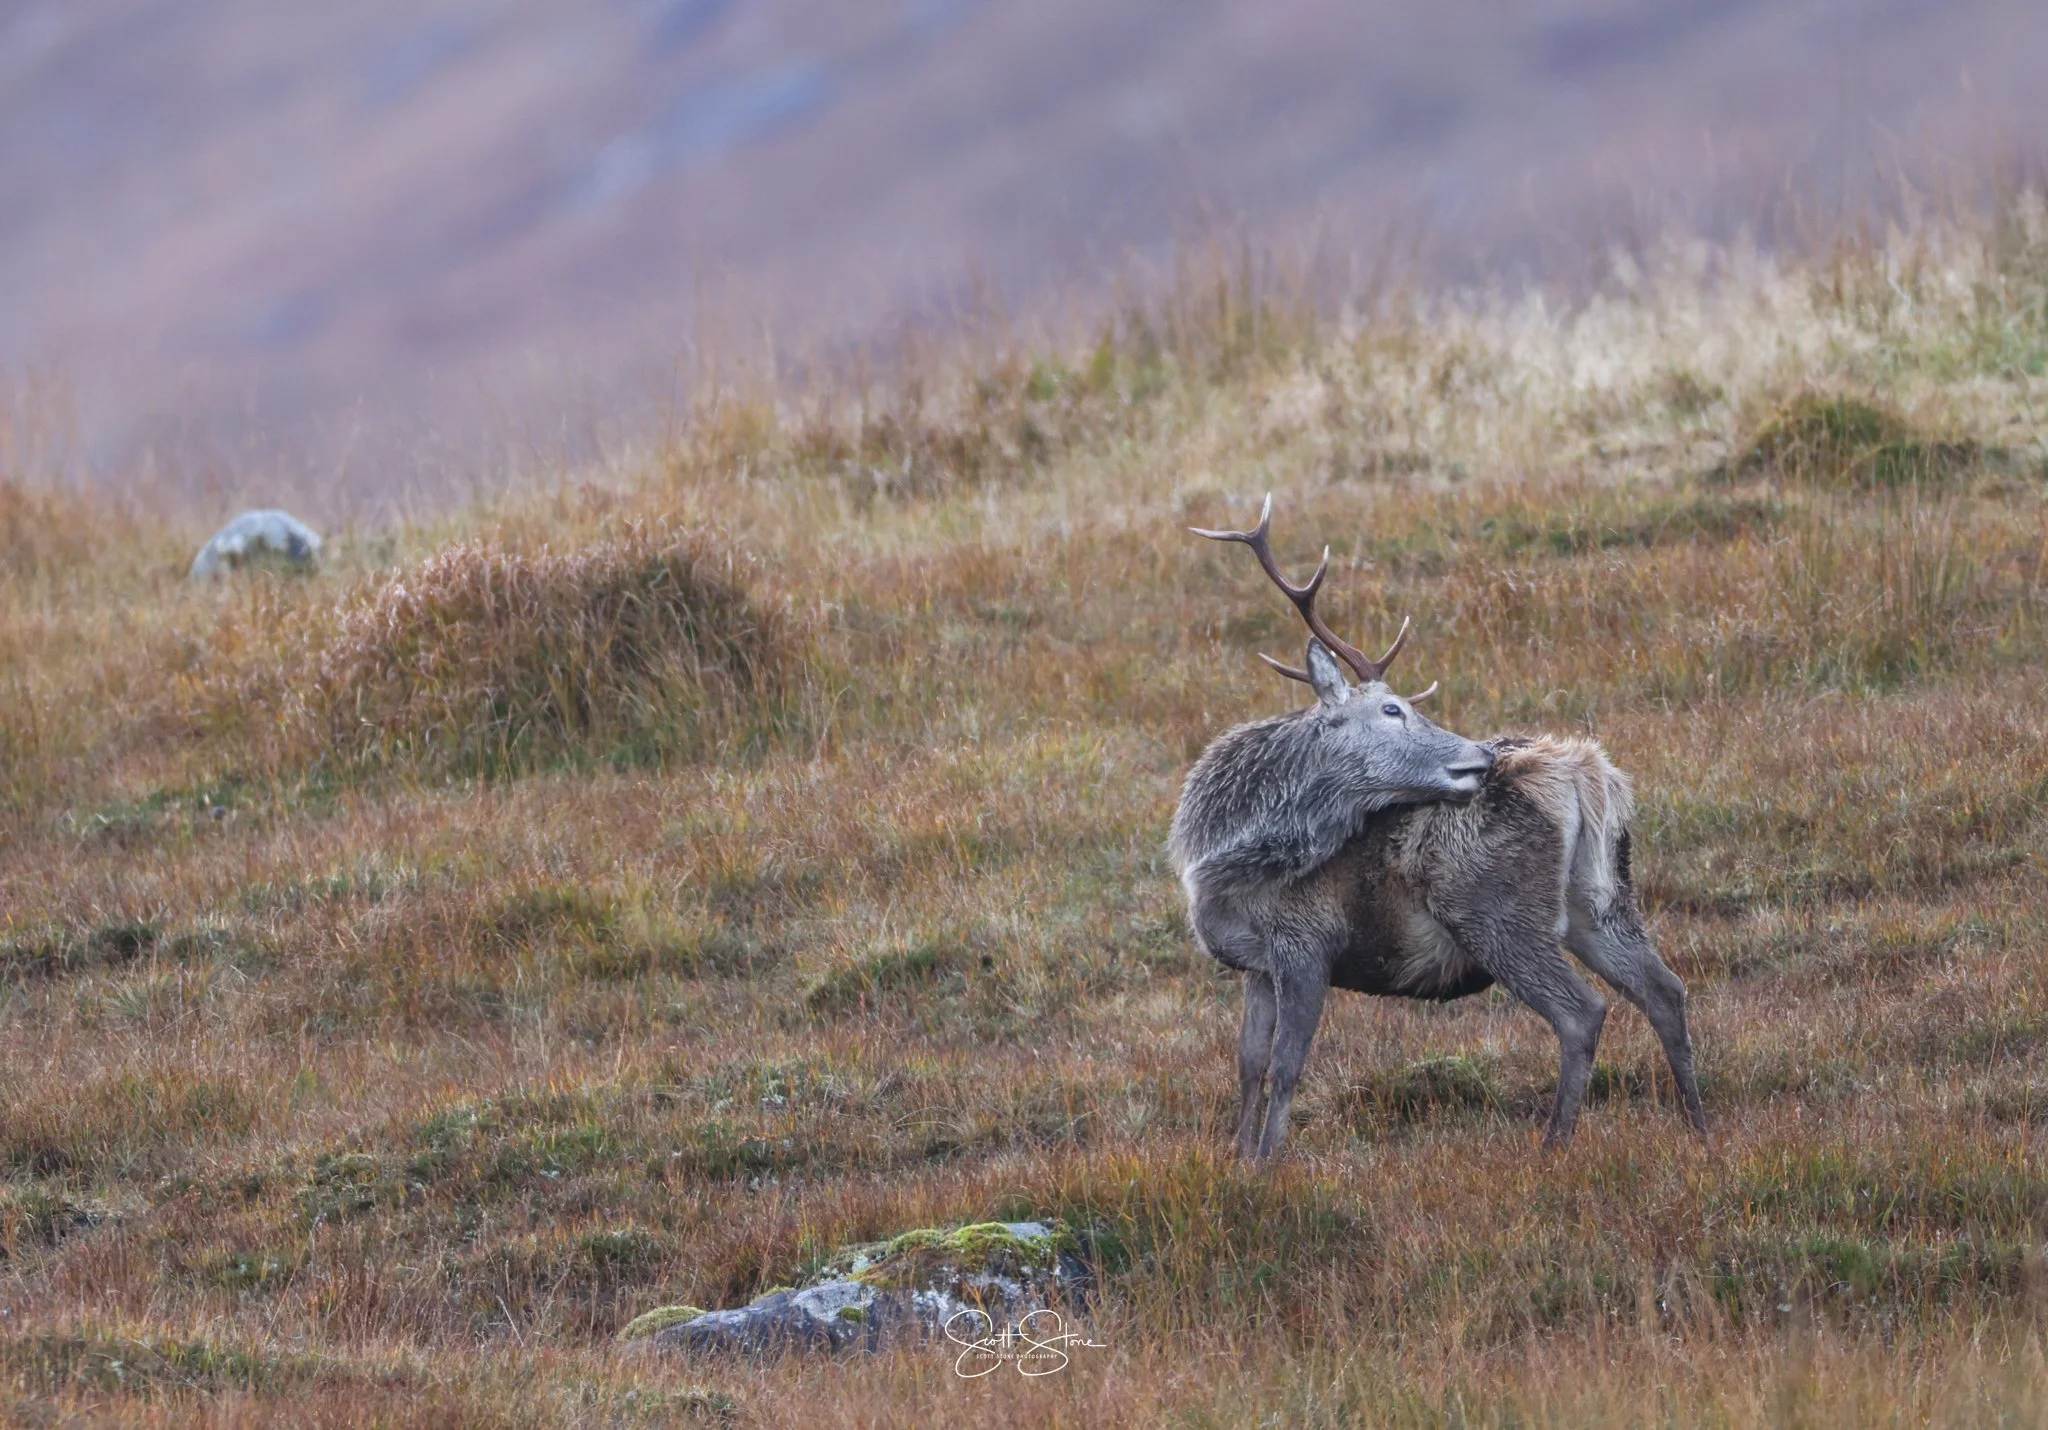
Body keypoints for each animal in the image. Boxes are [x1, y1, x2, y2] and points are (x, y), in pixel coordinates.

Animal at [1169, 496, 1706, 1161]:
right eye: (1392, 709)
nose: (1481, 753)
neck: (1221, 864)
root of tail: (1586, 773)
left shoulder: (1307, 942)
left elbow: (1288, 1065)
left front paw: (1269, 1163)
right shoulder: (1258, 966)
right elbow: (1248, 1065)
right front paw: (1238, 1158)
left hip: (1494, 911)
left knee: (1582, 1012)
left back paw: (1553, 1147)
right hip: (1601, 903)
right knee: (1666, 990)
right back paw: (1699, 1125)